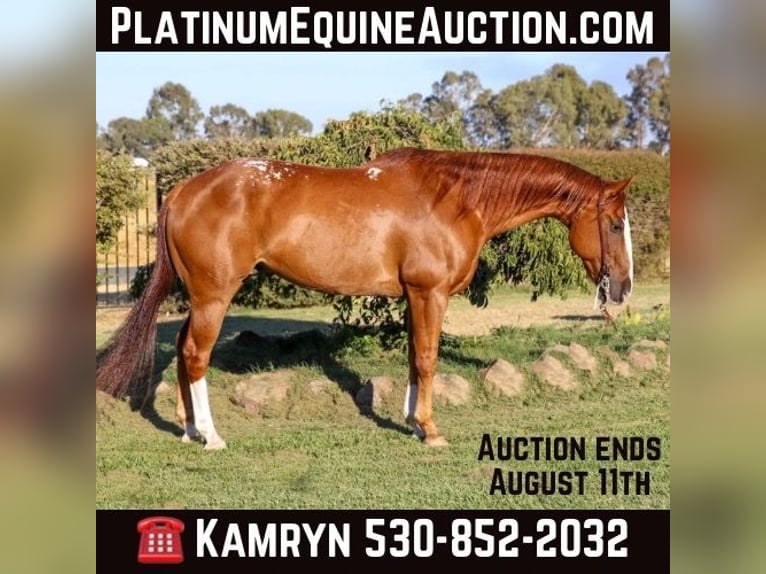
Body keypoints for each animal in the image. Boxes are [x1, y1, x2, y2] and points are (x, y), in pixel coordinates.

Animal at [96, 147, 634, 449]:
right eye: (613, 224)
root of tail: (182, 190)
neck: (458, 199)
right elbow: (429, 357)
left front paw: (413, 424)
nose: (623, 288)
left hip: (199, 296)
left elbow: (415, 358)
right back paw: (210, 436)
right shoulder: (429, 294)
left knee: (184, 353)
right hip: (213, 295)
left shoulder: (415, 297)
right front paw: (430, 431)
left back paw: (189, 429)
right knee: (195, 354)